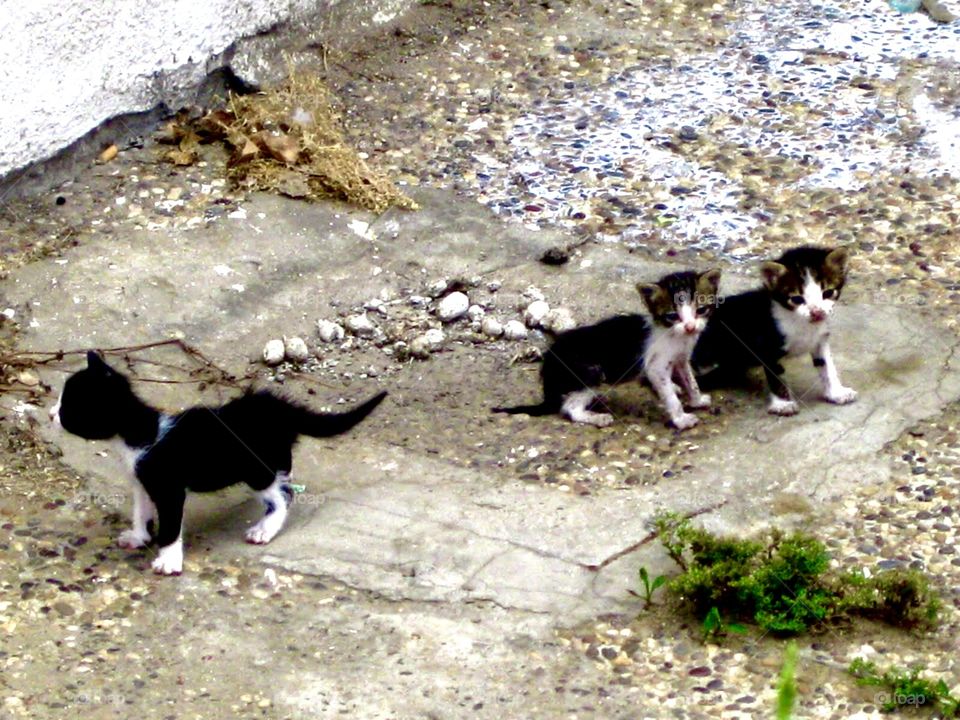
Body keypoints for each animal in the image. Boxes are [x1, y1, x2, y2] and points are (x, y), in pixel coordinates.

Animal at [50, 352, 388, 576]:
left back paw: (264, 529)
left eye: (68, 408)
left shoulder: (169, 489)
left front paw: (169, 560)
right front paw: (138, 537)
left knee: (283, 495)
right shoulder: (142, 483)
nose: (52, 414)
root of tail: (278, 408)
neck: (139, 432)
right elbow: (141, 512)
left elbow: (170, 526)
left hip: (257, 468)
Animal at [496, 268, 720, 428]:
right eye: (673, 316)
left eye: (701, 310)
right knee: (570, 408)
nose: (690, 326)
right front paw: (681, 419)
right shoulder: (656, 366)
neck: (673, 334)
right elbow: (669, 396)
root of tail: (549, 366)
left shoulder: (681, 358)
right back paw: (597, 418)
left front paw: (697, 399)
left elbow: (690, 380)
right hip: (591, 372)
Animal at [688, 248, 856, 416]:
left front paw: (837, 393)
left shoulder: (820, 339)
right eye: (797, 299)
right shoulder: (767, 345)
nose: (817, 312)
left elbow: (828, 366)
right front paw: (783, 404)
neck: (801, 324)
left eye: (828, 293)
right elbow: (777, 375)